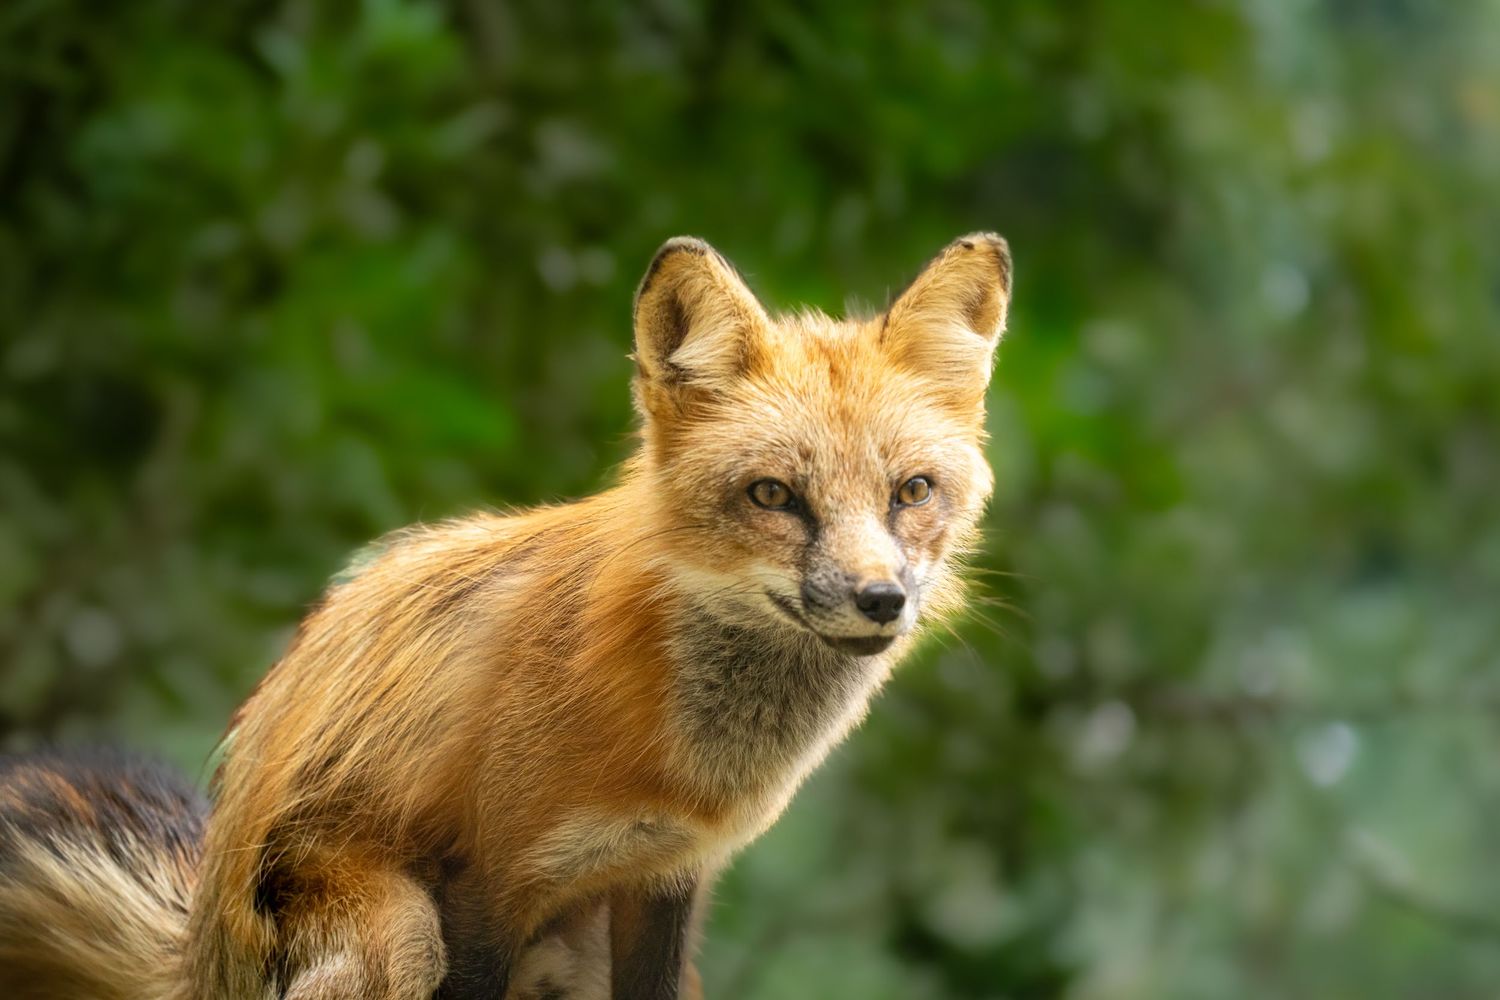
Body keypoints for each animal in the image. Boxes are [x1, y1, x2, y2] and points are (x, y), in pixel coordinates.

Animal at [0, 231, 1012, 999]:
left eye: (913, 491)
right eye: (773, 495)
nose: (881, 599)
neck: (676, 752)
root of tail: (201, 946)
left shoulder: (663, 882)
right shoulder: (487, 881)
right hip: (395, 931)